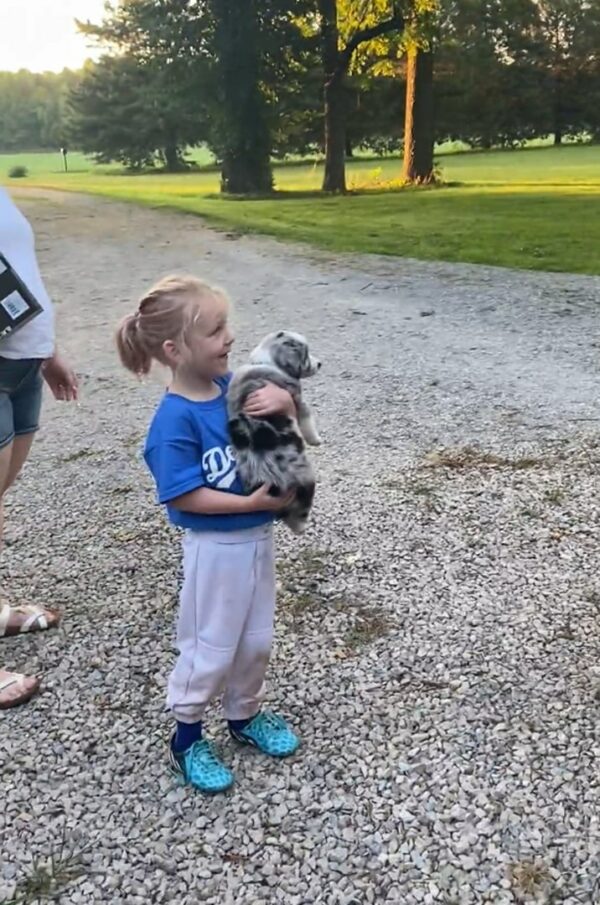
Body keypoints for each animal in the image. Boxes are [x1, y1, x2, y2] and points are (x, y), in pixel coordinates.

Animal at [227, 330, 322, 528]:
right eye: (306, 354)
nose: (319, 364)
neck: (266, 361)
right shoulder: (297, 400)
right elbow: (307, 421)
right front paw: (316, 440)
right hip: (307, 479)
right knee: (300, 510)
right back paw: (301, 527)